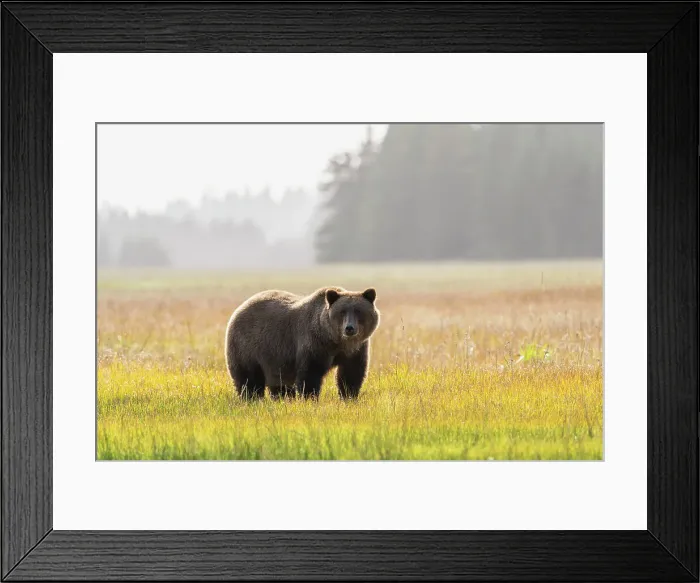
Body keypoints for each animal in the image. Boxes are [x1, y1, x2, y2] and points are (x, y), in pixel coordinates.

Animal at [224, 286, 380, 401]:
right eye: (342, 312)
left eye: (359, 311)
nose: (349, 328)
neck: (336, 341)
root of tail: (241, 307)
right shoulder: (314, 344)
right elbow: (310, 374)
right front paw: (310, 398)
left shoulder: (356, 349)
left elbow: (351, 374)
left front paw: (349, 397)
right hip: (247, 346)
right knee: (249, 379)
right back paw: (252, 399)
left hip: (273, 358)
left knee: (279, 383)